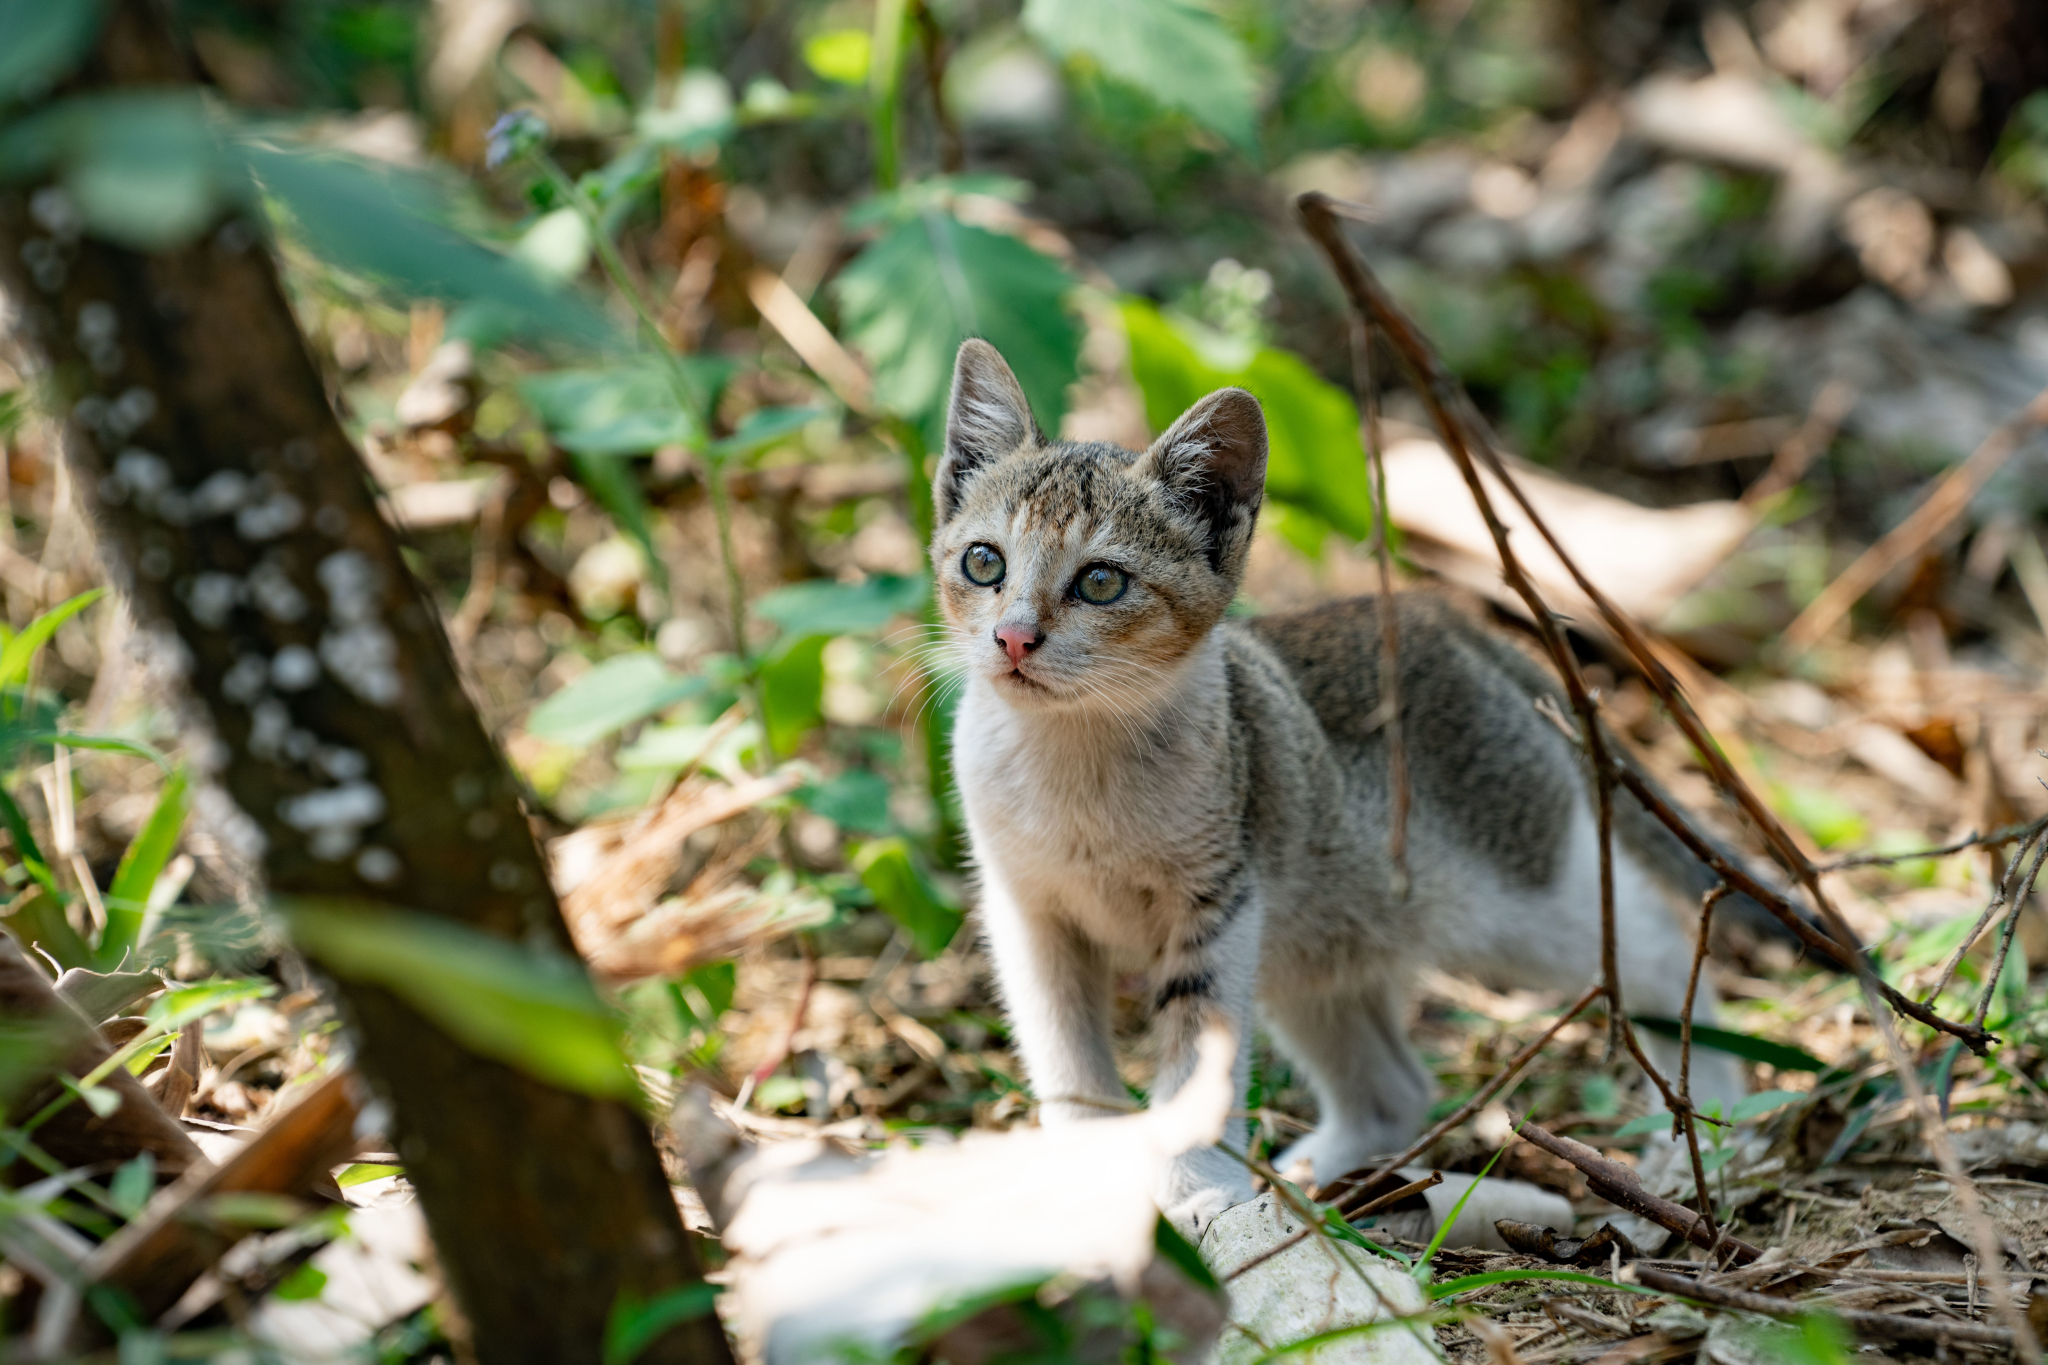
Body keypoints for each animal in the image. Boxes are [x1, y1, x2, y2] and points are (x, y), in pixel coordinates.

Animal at [929, 339, 1744, 1227]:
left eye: (1101, 582)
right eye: (984, 563)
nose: (1013, 637)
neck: (1072, 753)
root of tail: (1439, 614)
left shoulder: (1219, 904)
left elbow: (1197, 1058)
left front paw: (1197, 1189)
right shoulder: (1031, 912)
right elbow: (1065, 1060)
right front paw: (1087, 1187)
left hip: (1514, 893)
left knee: (1653, 947)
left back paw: (1716, 1115)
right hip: (1318, 944)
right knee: (1394, 1087)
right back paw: (1327, 1178)